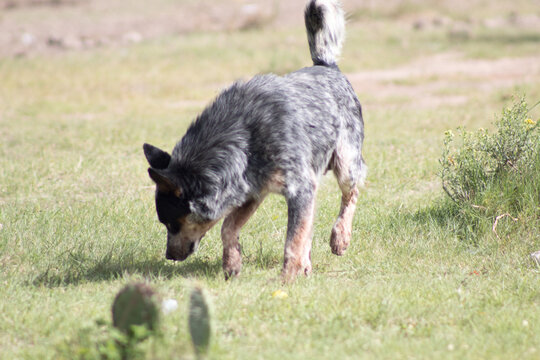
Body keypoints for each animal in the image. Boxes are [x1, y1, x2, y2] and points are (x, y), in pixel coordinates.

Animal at [142, 0, 368, 282]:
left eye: (171, 223)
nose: (169, 256)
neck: (244, 137)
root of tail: (325, 65)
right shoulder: (252, 191)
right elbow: (228, 227)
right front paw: (232, 265)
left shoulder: (300, 188)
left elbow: (292, 241)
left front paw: (286, 281)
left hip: (346, 163)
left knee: (351, 193)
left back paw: (340, 238)